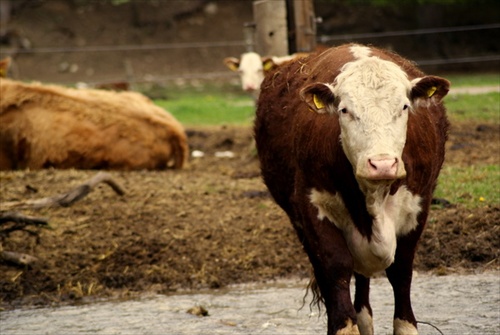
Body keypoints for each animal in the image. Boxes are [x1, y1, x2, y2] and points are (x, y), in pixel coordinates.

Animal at [254, 43, 450, 334]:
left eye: (404, 106)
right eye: (345, 110)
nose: (382, 164)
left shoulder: (418, 206)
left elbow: (401, 272)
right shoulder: (313, 207)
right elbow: (336, 271)